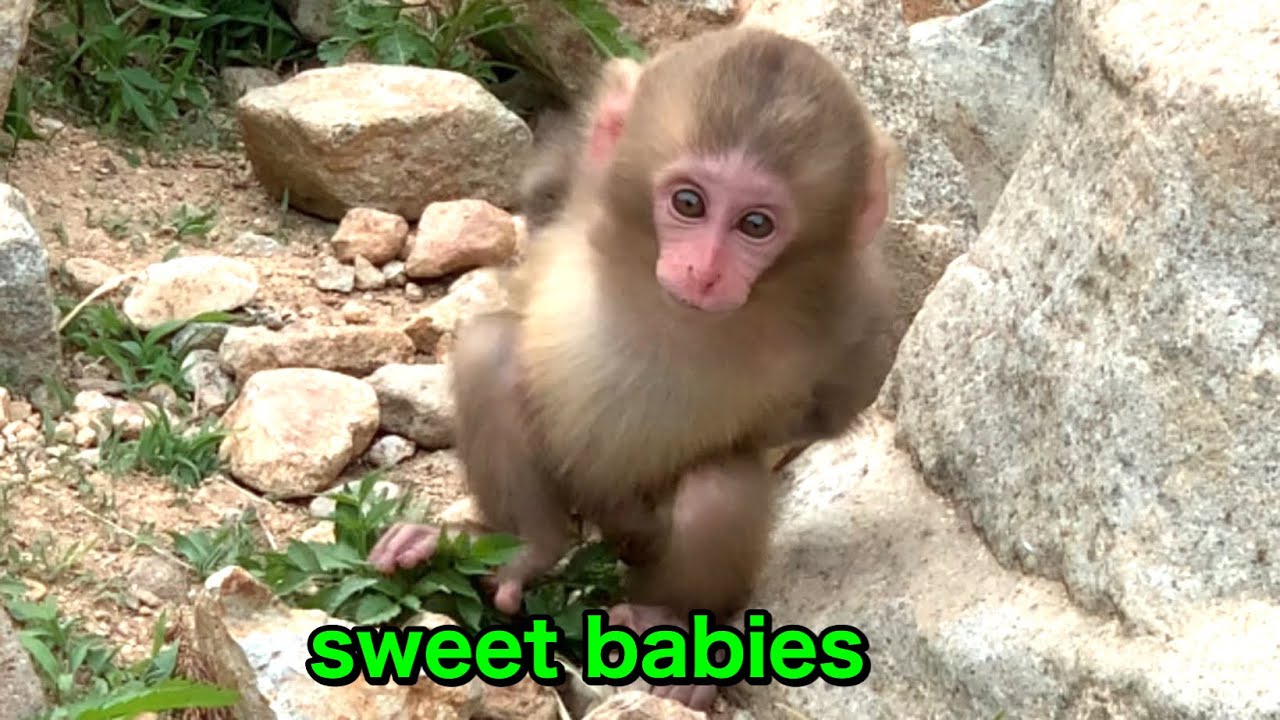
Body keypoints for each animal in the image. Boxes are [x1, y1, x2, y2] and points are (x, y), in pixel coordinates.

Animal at [370, 26, 901, 710]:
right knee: (492, 354)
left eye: (756, 224)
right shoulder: (582, 192)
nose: (704, 271)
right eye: (689, 202)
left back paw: (668, 622)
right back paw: (525, 548)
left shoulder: (852, 305)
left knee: (715, 489)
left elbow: (844, 398)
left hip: (642, 546)